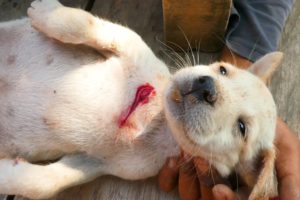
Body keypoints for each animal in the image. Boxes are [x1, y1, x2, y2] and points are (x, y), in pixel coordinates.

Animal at [0, 0, 282, 199]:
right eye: (223, 70)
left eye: (242, 128)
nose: (206, 87)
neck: (157, 121)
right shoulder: (127, 43)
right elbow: (85, 25)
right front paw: (48, 12)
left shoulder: (95, 163)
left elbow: (46, 182)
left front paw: (5, 175)